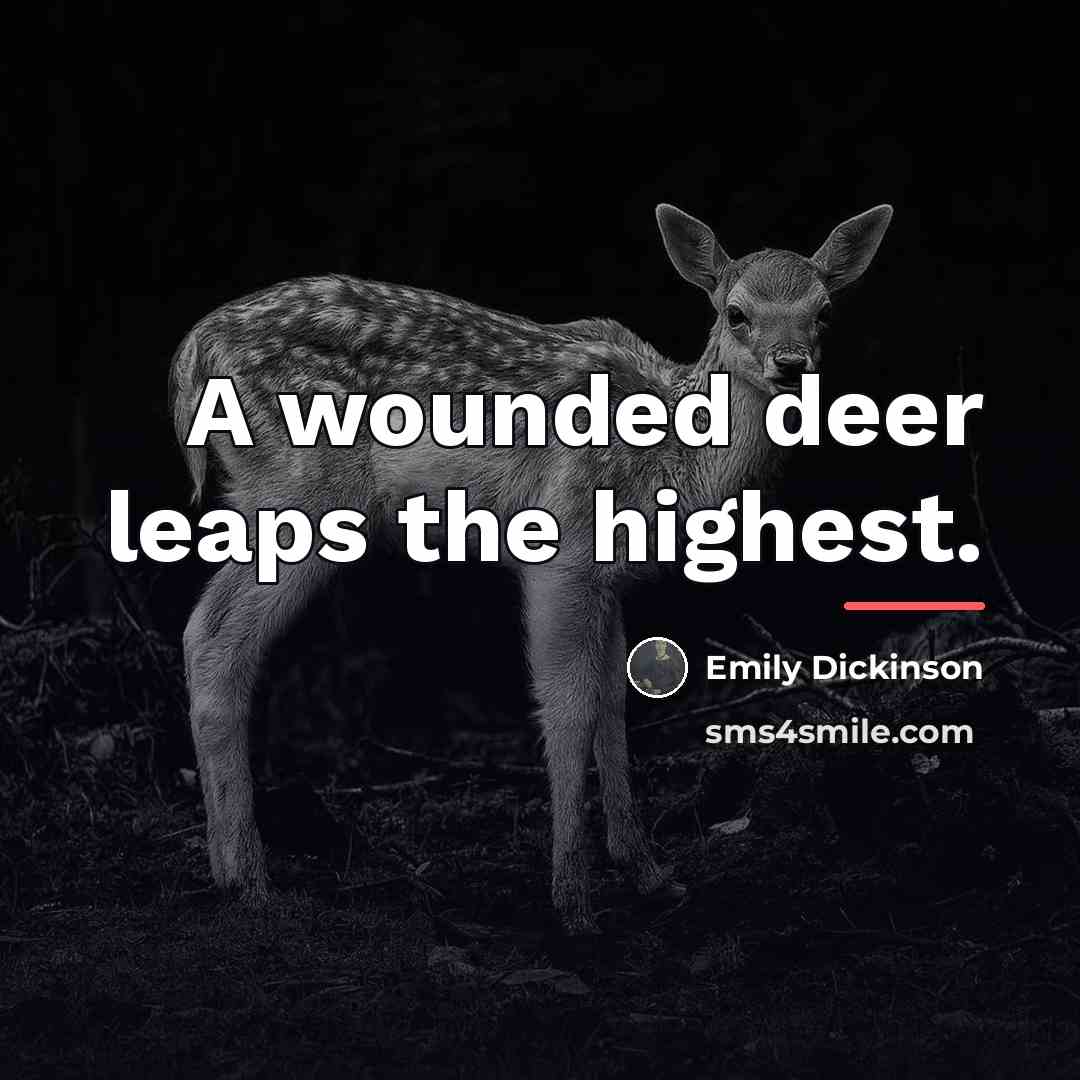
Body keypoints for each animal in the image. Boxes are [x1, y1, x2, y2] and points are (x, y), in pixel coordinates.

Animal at [170, 202, 892, 934]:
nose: (791, 362)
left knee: (204, 631)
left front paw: (650, 876)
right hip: (303, 490)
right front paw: (573, 904)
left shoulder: (611, 576)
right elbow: (569, 706)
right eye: (736, 312)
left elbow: (614, 701)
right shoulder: (565, 547)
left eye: (825, 311)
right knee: (216, 638)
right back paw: (252, 881)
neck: (674, 460)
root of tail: (192, 354)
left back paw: (229, 869)